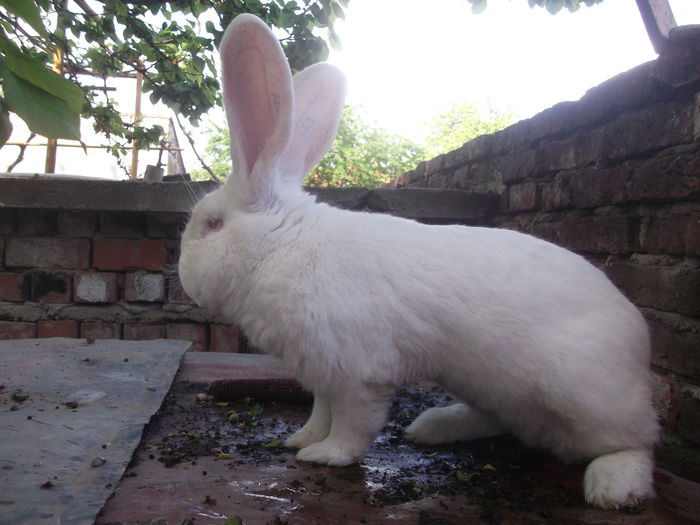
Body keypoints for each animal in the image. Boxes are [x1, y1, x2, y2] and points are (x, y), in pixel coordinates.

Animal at [178, 14, 660, 510]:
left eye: (213, 225)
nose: (184, 278)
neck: (281, 245)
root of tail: (638, 340)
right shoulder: (323, 373)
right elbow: (321, 413)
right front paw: (302, 440)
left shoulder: (358, 374)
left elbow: (353, 424)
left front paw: (326, 456)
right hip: (492, 388)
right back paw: (433, 426)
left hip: (582, 394)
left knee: (636, 440)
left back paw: (613, 486)